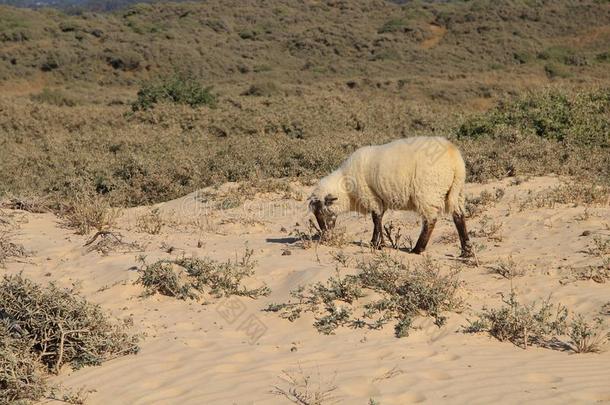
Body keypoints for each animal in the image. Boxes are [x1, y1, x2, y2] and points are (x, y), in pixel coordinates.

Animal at [306, 136, 472, 256]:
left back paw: (418, 249)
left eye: (320, 211)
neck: (346, 188)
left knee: (430, 221)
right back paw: (466, 251)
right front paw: (376, 242)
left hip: (428, 193)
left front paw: (379, 245)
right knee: (459, 217)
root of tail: (455, 160)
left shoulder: (370, 197)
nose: (325, 236)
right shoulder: (380, 199)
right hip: (457, 192)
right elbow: (378, 219)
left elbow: (376, 219)